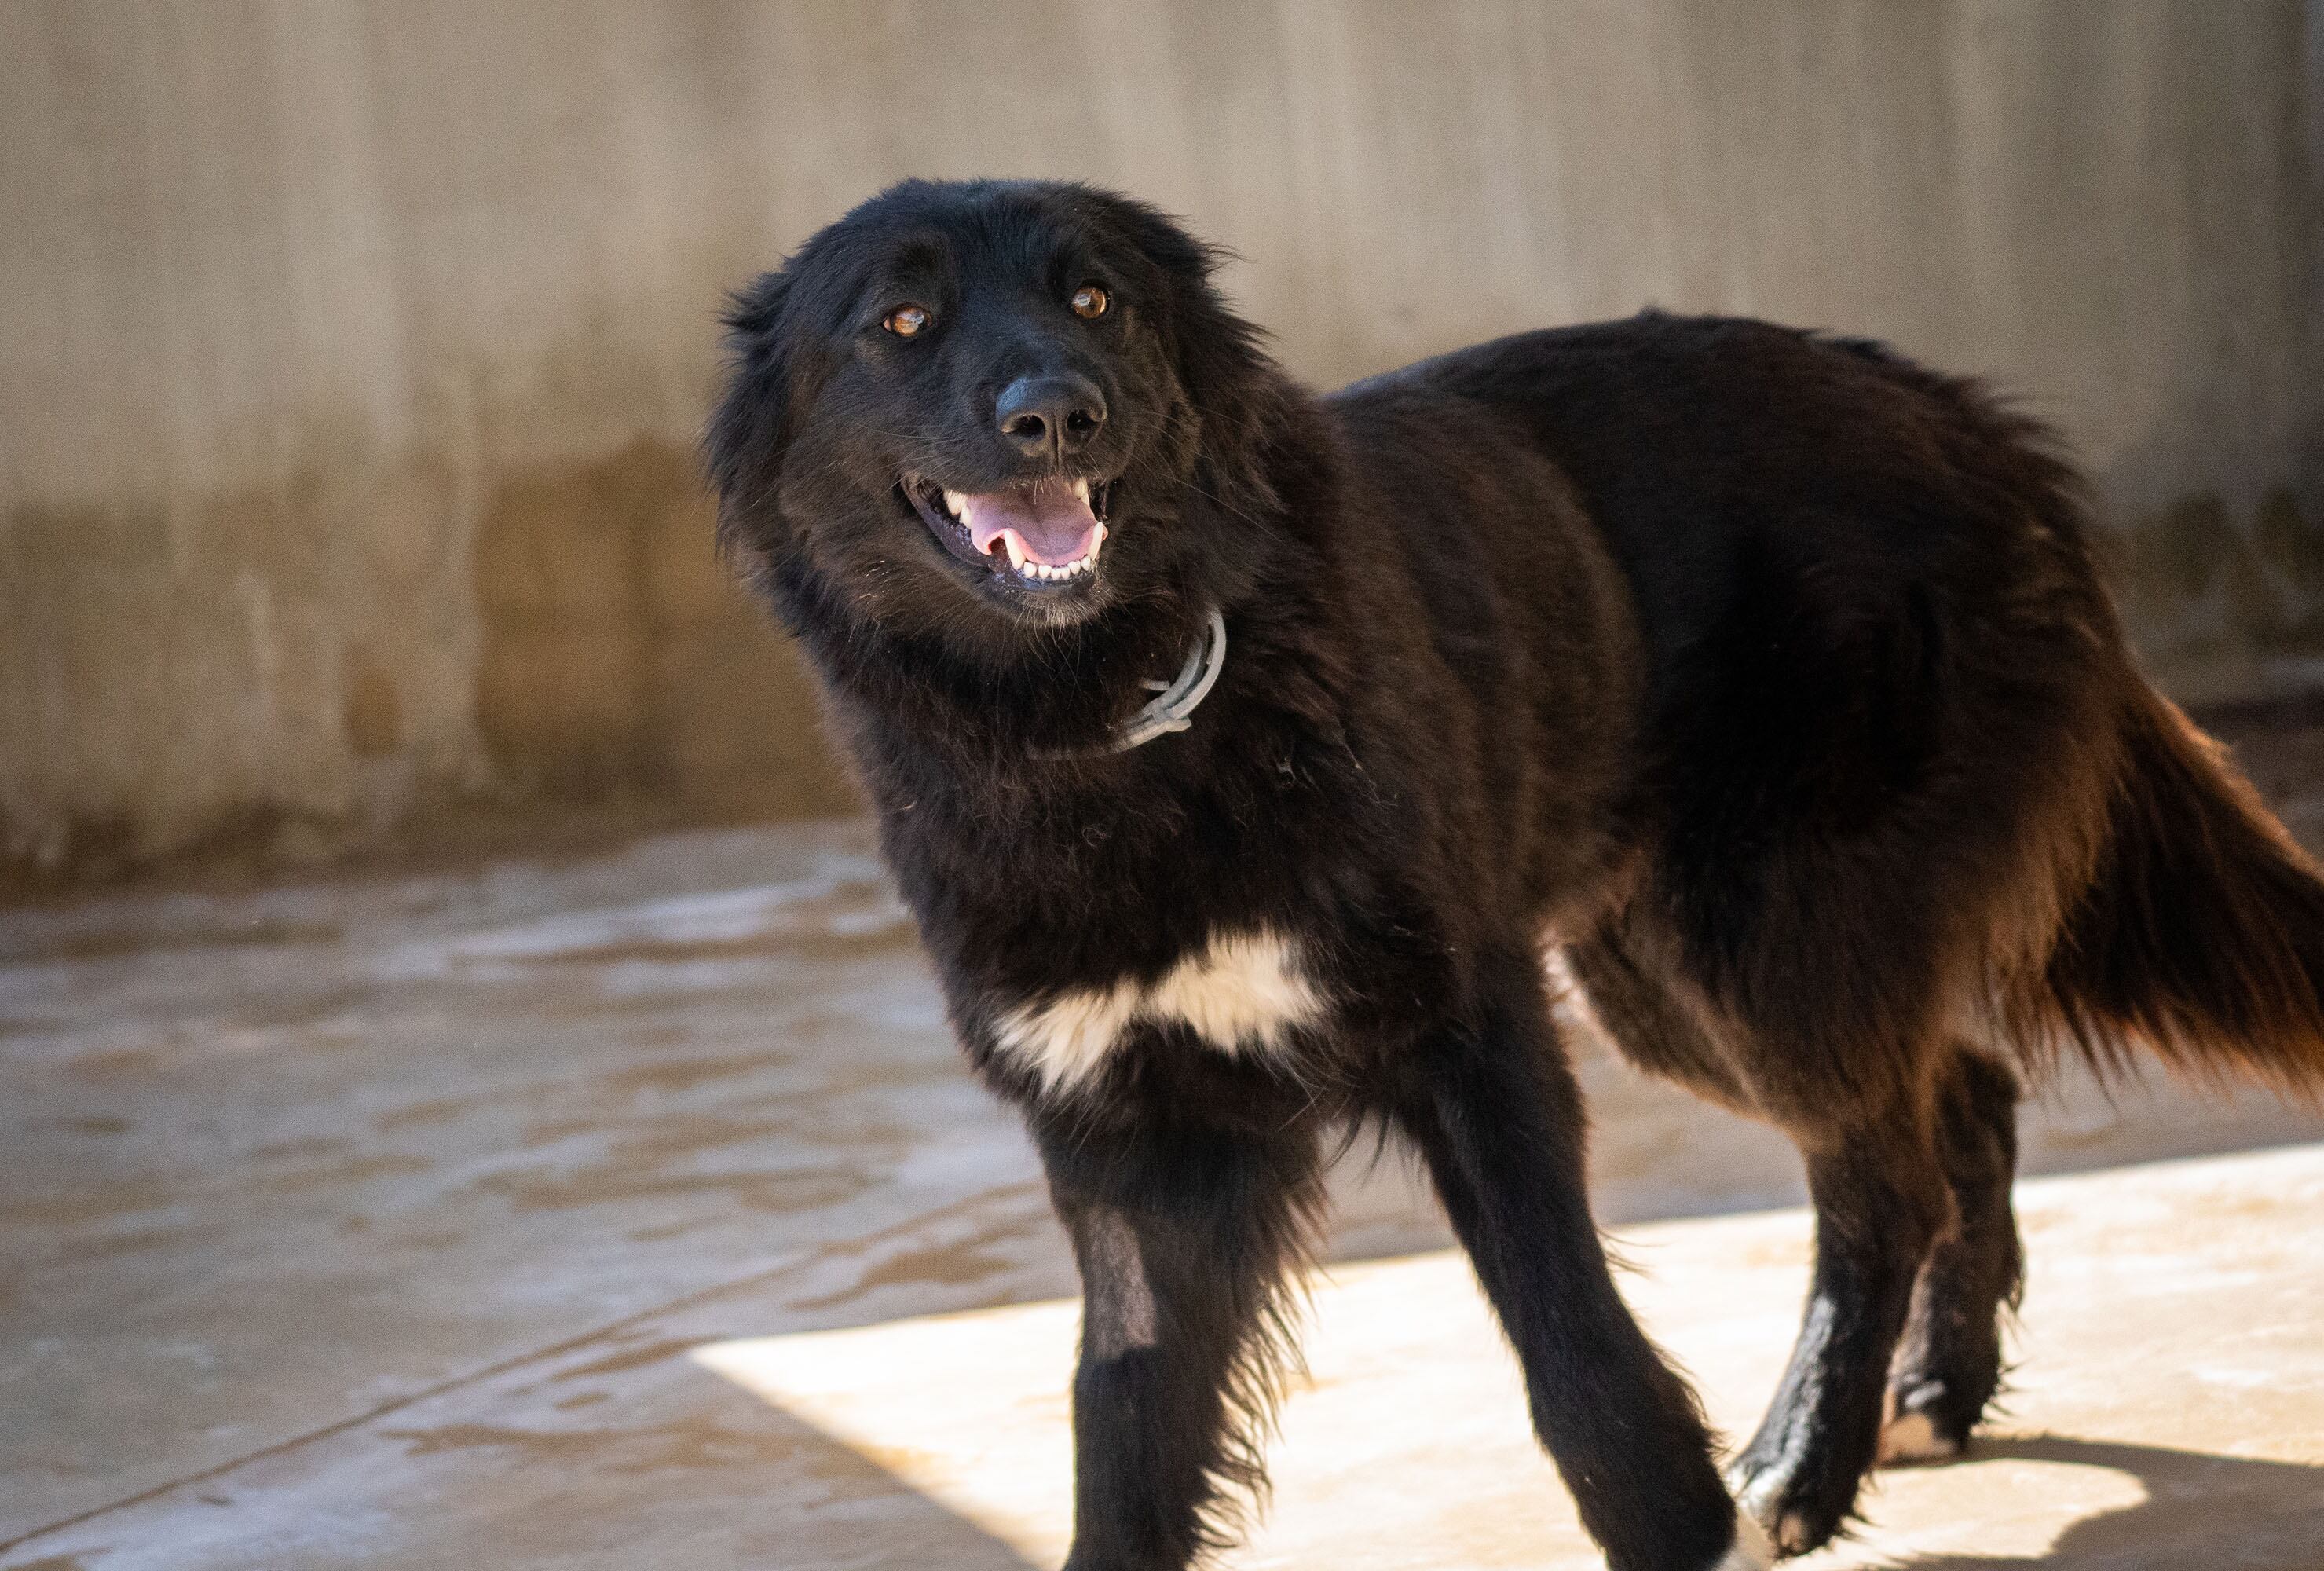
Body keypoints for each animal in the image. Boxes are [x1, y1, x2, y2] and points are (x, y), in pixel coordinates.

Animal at [706, 178, 2324, 1562]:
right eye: (900, 323)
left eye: (1094, 298)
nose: (1056, 415)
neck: (1117, 724)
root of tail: (1964, 414)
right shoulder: (1123, 1131)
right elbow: (1121, 1427)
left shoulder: (1469, 1037)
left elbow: (1576, 1358)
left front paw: (1685, 1529)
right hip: (1662, 976)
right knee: (1960, 1097)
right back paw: (1933, 1395)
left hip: (1746, 954)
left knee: (1881, 1178)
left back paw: (1801, 1465)